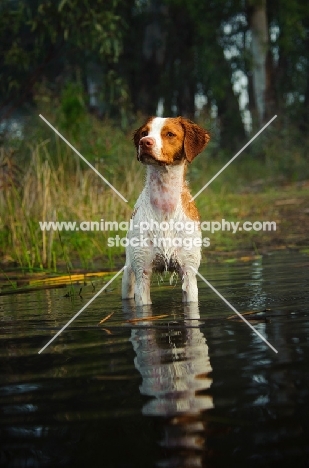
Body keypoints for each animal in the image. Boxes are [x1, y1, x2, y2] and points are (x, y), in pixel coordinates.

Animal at [120, 116, 209, 308]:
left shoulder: (189, 273)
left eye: (169, 134)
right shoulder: (142, 274)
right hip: (129, 271)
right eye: (144, 132)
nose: (144, 142)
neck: (164, 207)